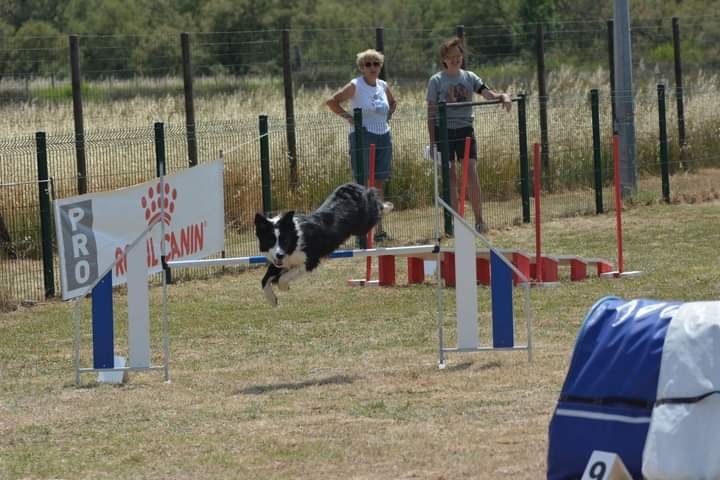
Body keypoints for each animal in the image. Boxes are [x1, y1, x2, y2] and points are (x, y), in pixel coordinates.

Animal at [250, 182, 390, 306]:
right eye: (270, 241)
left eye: (285, 241)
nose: (279, 255)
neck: (295, 241)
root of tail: (355, 186)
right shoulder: (280, 261)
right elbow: (264, 280)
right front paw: (272, 300)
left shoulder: (310, 260)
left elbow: (283, 277)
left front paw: (284, 287)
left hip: (363, 225)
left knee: (376, 204)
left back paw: (387, 206)